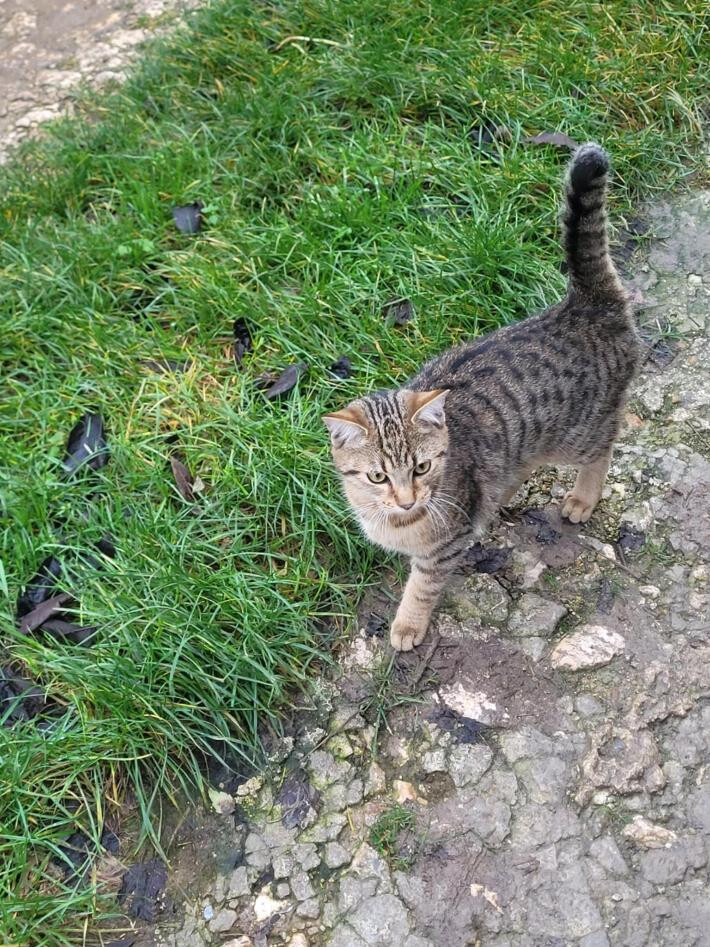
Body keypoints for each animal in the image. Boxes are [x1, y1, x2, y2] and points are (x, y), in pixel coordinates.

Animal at [323, 143, 640, 651]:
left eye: (422, 468)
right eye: (377, 476)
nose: (407, 500)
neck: (394, 519)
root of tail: (583, 305)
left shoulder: (441, 549)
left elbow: (421, 587)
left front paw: (407, 625)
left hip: (579, 434)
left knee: (604, 448)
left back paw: (582, 498)